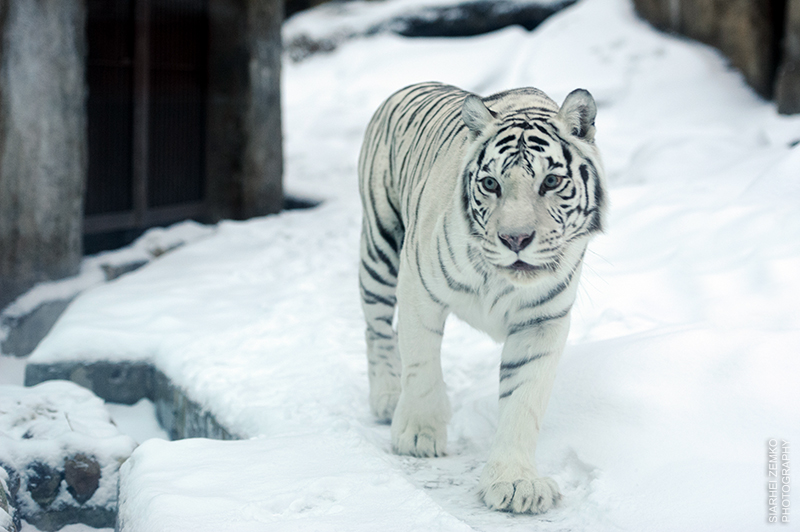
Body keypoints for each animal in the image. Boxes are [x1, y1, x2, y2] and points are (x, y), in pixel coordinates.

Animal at [358, 81, 606, 514]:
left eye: (551, 182)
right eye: (491, 184)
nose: (515, 239)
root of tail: (409, 85)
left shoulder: (542, 320)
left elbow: (523, 400)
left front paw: (516, 483)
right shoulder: (418, 286)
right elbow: (422, 365)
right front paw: (418, 435)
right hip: (379, 247)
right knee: (376, 327)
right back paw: (388, 396)